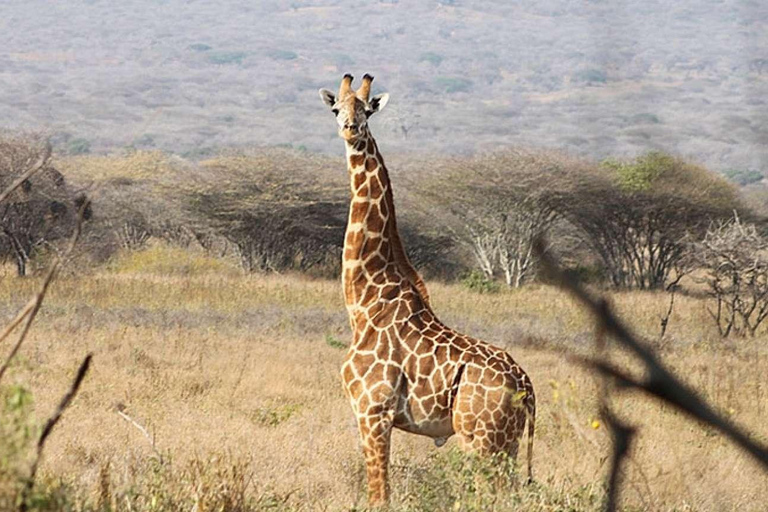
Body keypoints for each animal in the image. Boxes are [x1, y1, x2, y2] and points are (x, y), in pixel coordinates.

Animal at [318, 74, 536, 506]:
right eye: (336, 108)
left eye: (366, 110)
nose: (350, 129)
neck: (363, 303)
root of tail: (528, 387)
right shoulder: (371, 413)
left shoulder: (374, 410)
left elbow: (379, 494)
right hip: (508, 442)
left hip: (481, 439)